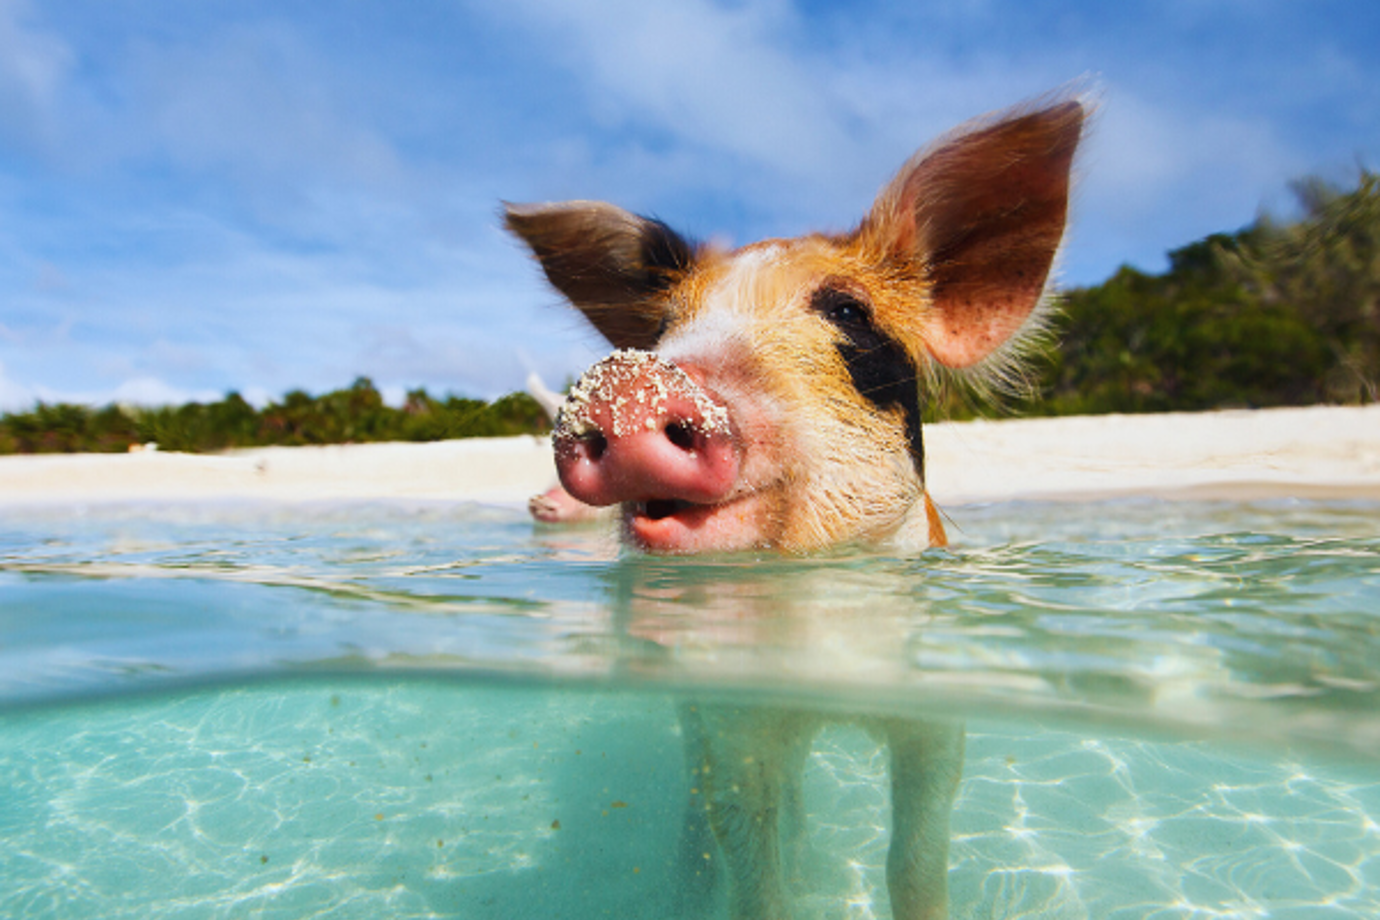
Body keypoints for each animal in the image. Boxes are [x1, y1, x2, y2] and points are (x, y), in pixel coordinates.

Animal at [506, 97, 1085, 919]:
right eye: (661, 330)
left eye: (847, 309)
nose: (629, 378)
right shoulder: (731, 717)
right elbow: (754, 863)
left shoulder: (936, 716)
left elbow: (915, 859)